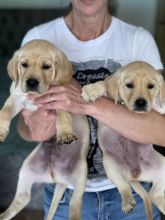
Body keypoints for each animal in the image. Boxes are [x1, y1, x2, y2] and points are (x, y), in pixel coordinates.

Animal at [82, 60, 165, 220]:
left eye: (151, 86)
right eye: (129, 85)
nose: (141, 103)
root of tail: (135, 174)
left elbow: (159, 103)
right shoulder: (111, 95)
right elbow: (104, 83)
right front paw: (92, 89)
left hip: (163, 166)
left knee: (154, 194)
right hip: (110, 165)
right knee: (124, 186)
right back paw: (127, 202)